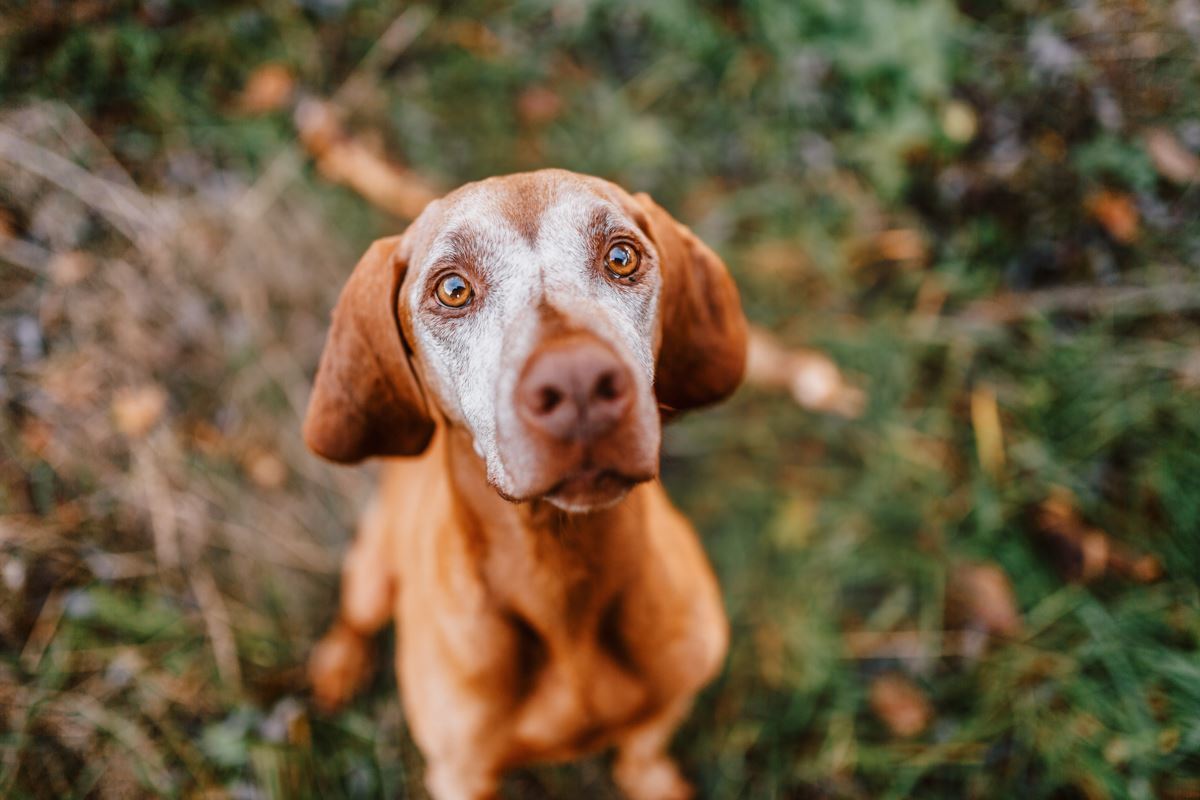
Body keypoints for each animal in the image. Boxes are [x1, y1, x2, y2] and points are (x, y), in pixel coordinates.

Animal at [304, 169, 744, 800]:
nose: (579, 382)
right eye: (453, 289)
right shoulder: (460, 773)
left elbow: (642, 749)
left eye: (621, 256)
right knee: (355, 616)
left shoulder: (673, 696)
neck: (559, 574)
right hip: (370, 573)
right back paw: (338, 663)